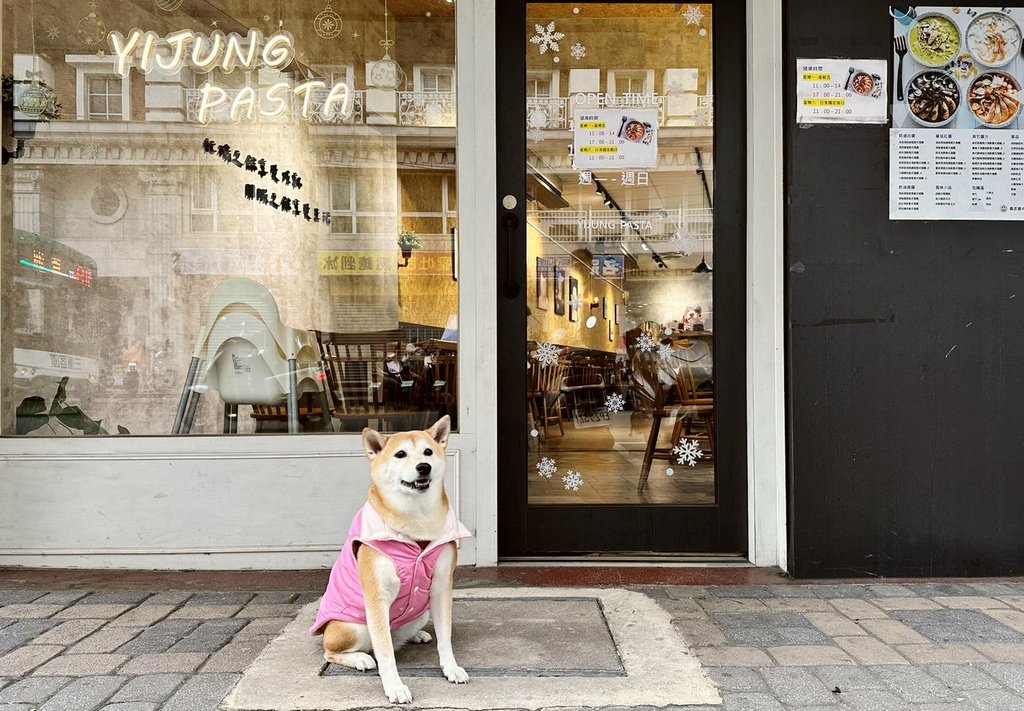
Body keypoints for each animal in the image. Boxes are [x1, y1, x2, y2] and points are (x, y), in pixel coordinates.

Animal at [309, 415, 473, 704]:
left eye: (428, 452)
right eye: (400, 455)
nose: (423, 467)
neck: (417, 523)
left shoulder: (441, 588)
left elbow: (446, 638)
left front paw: (451, 668)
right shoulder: (376, 597)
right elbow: (385, 654)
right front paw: (395, 687)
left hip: (421, 612)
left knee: (396, 637)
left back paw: (416, 635)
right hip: (353, 628)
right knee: (334, 651)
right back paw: (361, 658)